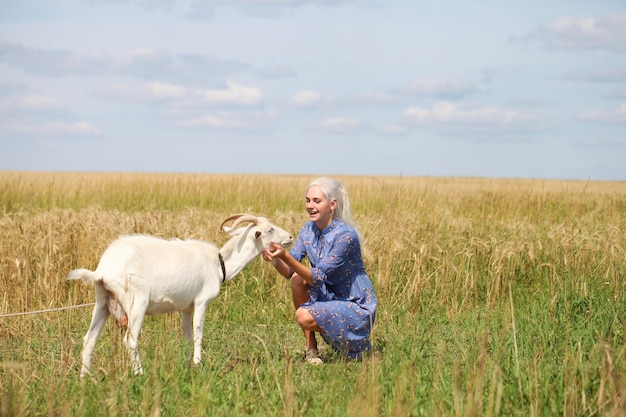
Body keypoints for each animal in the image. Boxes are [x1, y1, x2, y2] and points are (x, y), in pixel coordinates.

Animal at [66, 213, 292, 376]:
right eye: (269, 229)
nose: (290, 237)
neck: (219, 264)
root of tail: (103, 270)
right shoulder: (201, 302)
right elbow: (199, 332)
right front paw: (198, 364)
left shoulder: (186, 307)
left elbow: (187, 336)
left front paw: (186, 365)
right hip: (136, 302)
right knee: (130, 340)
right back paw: (140, 373)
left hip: (102, 301)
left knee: (89, 339)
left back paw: (85, 377)